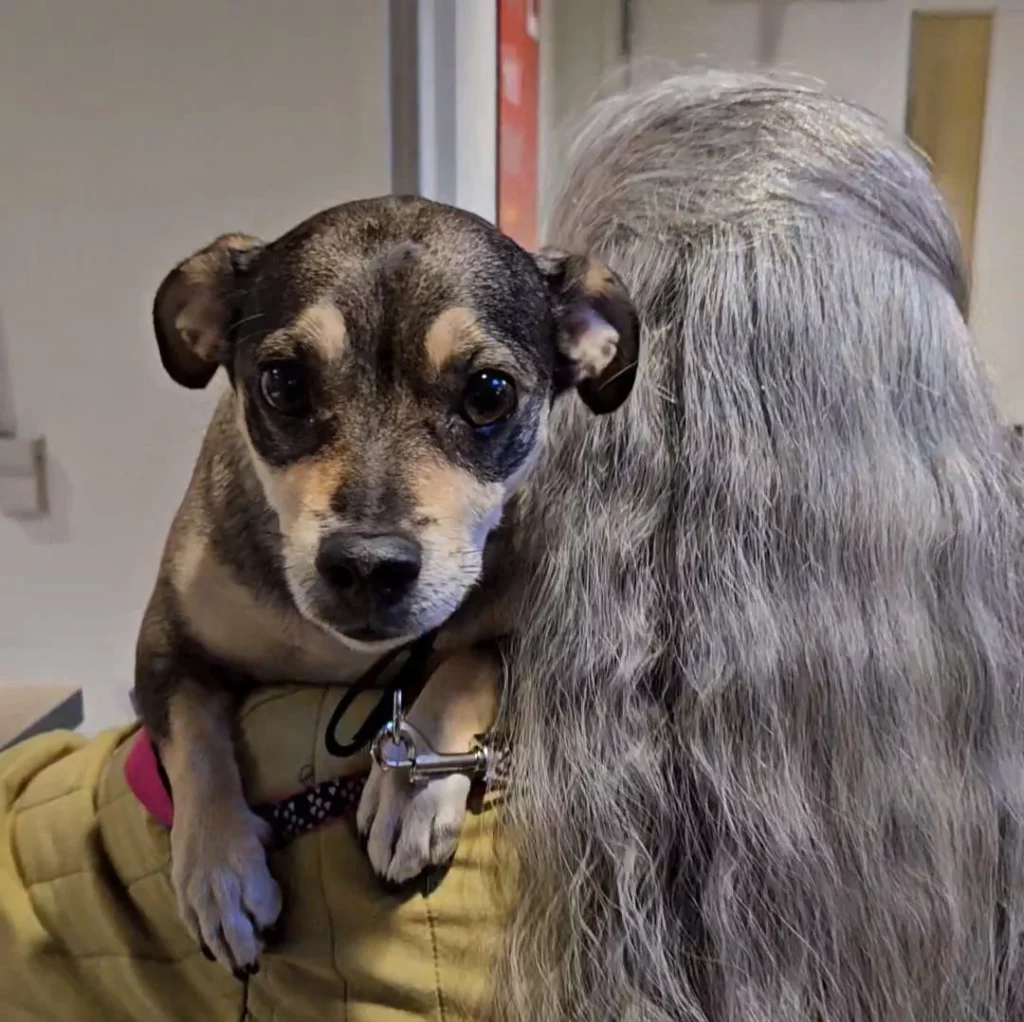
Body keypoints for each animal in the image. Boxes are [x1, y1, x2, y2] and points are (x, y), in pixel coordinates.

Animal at [132, 197, 634, 974]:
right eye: (282, 381)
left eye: (490, 393)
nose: (367, 565)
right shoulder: (164, 641)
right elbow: (194, 737)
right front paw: (218, 872)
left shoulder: (538, 630)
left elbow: (468, 660)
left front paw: (410, 786)